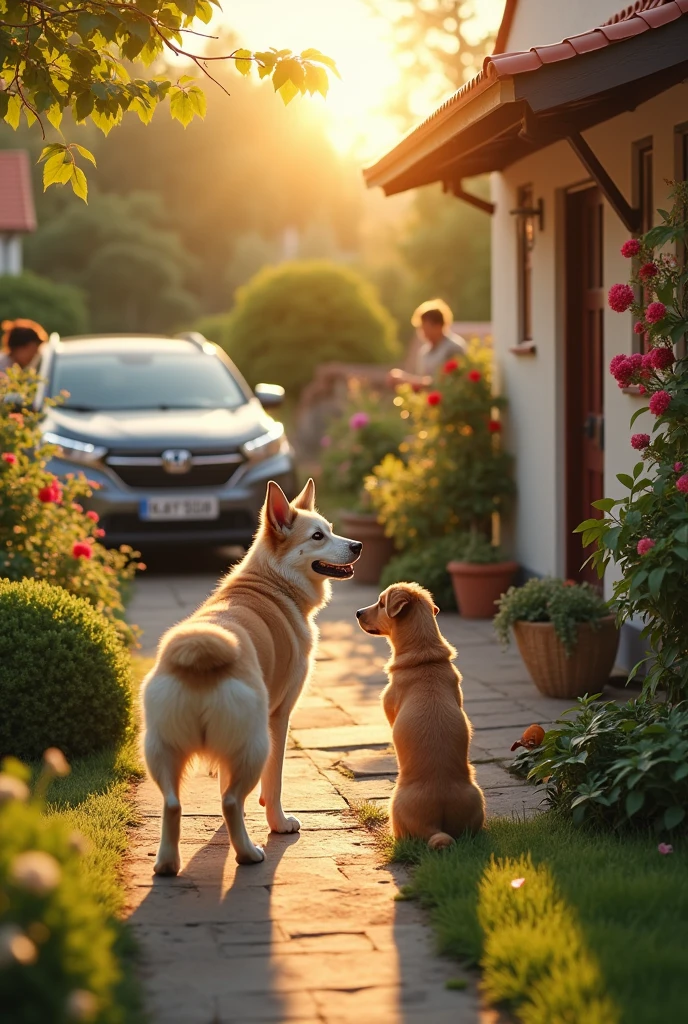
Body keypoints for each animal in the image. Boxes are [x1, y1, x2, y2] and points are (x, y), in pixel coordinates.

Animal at [140, 479, 360, 872]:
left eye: (332, 529)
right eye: (318, 536)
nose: (358, 546)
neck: (273, 582)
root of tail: (200, 649)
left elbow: (225, 785)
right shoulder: (280, 717)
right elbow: (273, 784)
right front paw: (279, 823)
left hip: (163, 751)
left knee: (175, 804)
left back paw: (166, 864)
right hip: (256, 743)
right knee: (230, 800)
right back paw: (249, 853)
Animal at [354, 581, 483, 851]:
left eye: (381, 603)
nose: (358, 613)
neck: (423, 653)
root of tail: (437, 826)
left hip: (395, 805)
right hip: (476, 799)